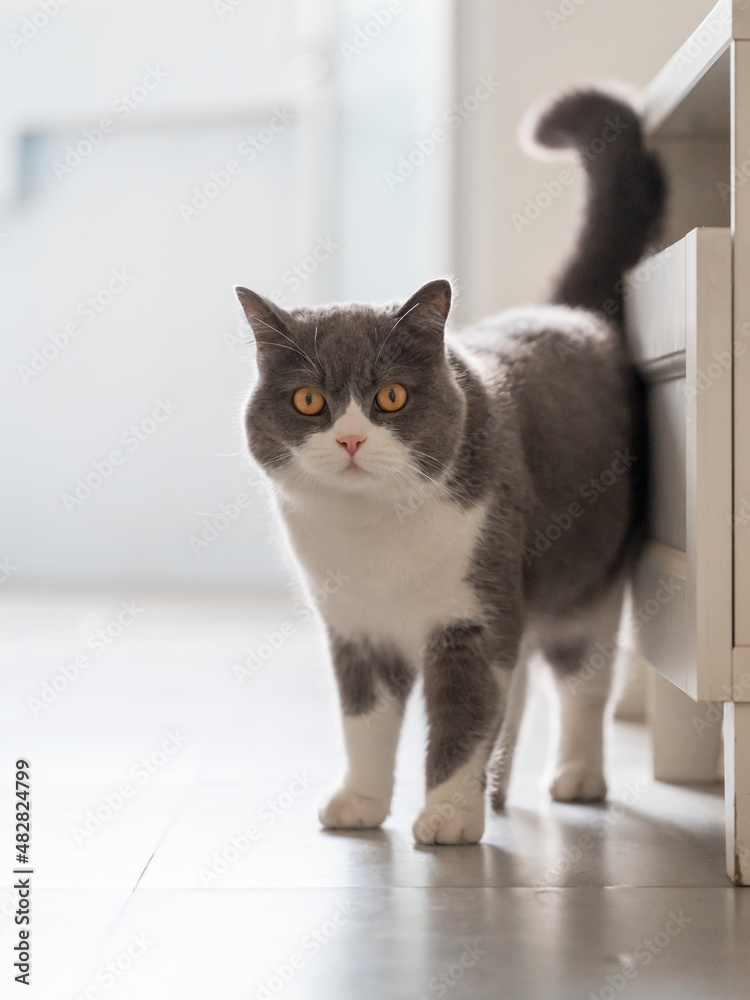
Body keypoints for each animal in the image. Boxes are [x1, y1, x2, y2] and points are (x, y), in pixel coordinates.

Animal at [235, 92, 664, 844]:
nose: (350, 440)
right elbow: (365, 722)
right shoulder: (355, 630)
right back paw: (502, 785)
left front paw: (447, 817)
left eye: (391, 396)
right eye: (310, 400)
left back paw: (576, 776)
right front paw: (362, 801)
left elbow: (464, 718)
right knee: (520, 690)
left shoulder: (474, 618)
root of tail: (570, 312)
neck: (371, 533)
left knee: (581, 680)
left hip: (589, 583)